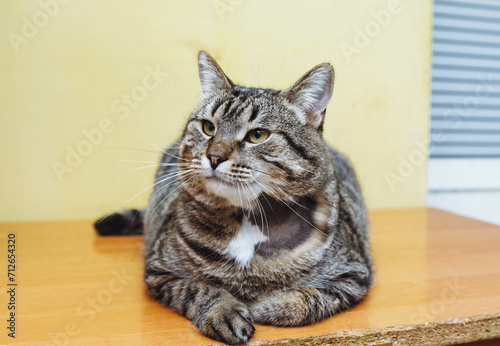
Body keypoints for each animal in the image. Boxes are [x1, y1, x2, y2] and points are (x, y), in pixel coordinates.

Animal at [95, 50, 374, 344]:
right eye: (208, 127)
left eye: (258, 135)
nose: (214, 156)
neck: (247, 217)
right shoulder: (160, 271)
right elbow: (200, 289)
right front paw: (224, 311)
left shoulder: (352, 275)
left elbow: (305, 300)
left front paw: (264, 305)